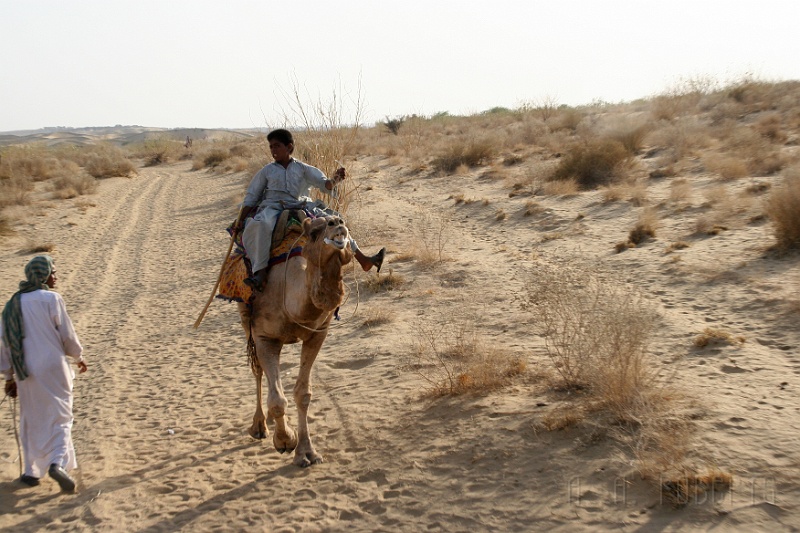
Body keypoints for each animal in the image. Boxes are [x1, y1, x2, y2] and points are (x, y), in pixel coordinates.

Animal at [236, 214, 352, 467]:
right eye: (314, 232)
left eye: (341, 221)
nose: (337, 222)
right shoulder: (264, 337)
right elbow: (278, 400)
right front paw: (285, 441)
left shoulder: (318, 333)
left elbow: (303, 394)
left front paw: (307, 452)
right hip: (245, 317)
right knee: (258, 372)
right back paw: (259, 425)